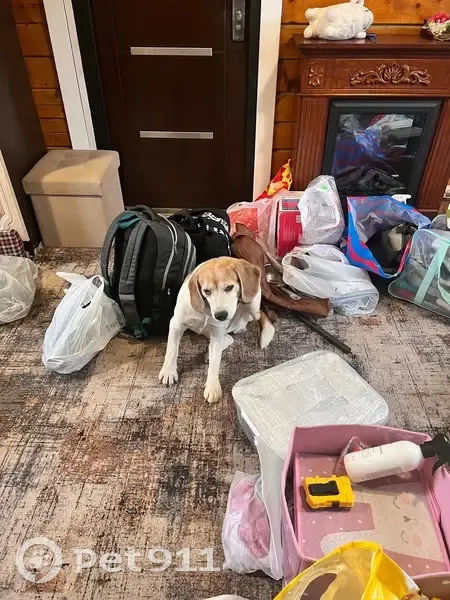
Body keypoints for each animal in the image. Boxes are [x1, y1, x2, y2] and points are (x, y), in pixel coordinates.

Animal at [159, 257, 274, 403]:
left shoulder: (217, 334)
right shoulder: (176, 324)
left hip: (252, 306)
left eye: (229, 287)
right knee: (228, 338)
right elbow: (172, 350)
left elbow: (215, 363)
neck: (206, 311)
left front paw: (213, 387)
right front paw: (168, 371)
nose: (221, 315)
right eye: (206, 291)